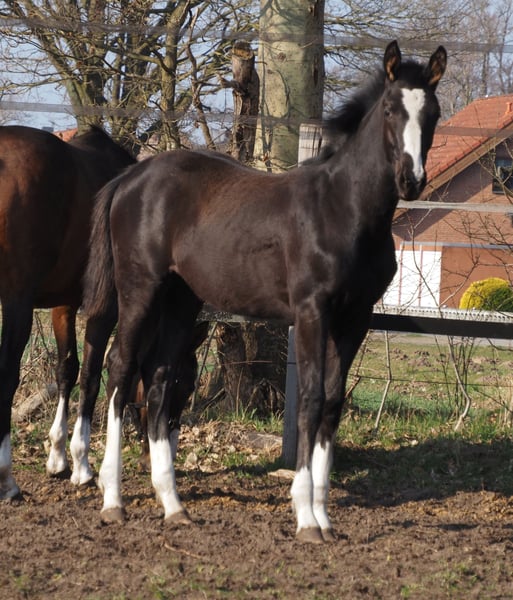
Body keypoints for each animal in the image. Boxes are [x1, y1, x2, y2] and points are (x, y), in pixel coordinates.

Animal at [0, 125, 136, 501]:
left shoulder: (64, 305)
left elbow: (67, 370)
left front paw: (59, 456)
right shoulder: (105, 308)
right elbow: (91, 376)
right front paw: (82, 463)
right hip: (17, 301)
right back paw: (7, 478)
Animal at [82, 41, 447, 543]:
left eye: (432, 113)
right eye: (391, 109)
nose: (412, 181)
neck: (344, 209)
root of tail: (130, 178)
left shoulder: (356, 317)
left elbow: (333, 401)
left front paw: (324, 516)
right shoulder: (312, 311)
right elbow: (310, 399)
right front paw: (306, 517)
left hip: (182, 301)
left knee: (158, 378)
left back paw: (173, 505)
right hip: (140, 290)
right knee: (120, 368)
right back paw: (112, 499)